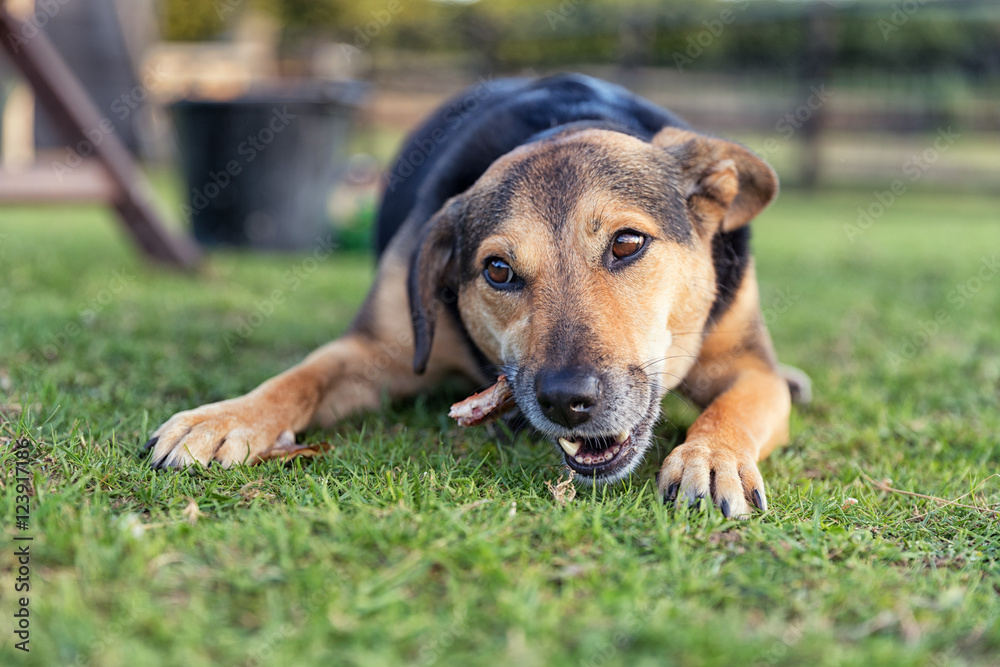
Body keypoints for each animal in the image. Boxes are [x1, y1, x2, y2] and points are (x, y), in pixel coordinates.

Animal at [146, 74, 812, 520]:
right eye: (497, 271)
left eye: (627, 243)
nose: (567, 401)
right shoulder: (373, 350)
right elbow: (300, 376)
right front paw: (224, 418)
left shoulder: (748, 365)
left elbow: (739, 404)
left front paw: (710, 457)